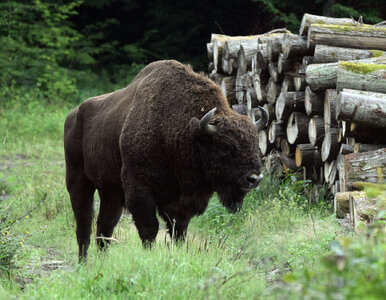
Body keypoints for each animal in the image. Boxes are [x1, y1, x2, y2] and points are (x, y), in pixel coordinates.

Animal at [64, 59, 268, 258]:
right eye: (225, 147)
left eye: (255, 143)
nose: (254, 178)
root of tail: (73, 115)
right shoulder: (140, 191)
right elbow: (149, 228)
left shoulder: (182, 200)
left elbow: (179, 229)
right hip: (79, 182)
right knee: (84, 222)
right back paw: (83, 260)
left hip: (110, 192)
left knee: (104, 226)